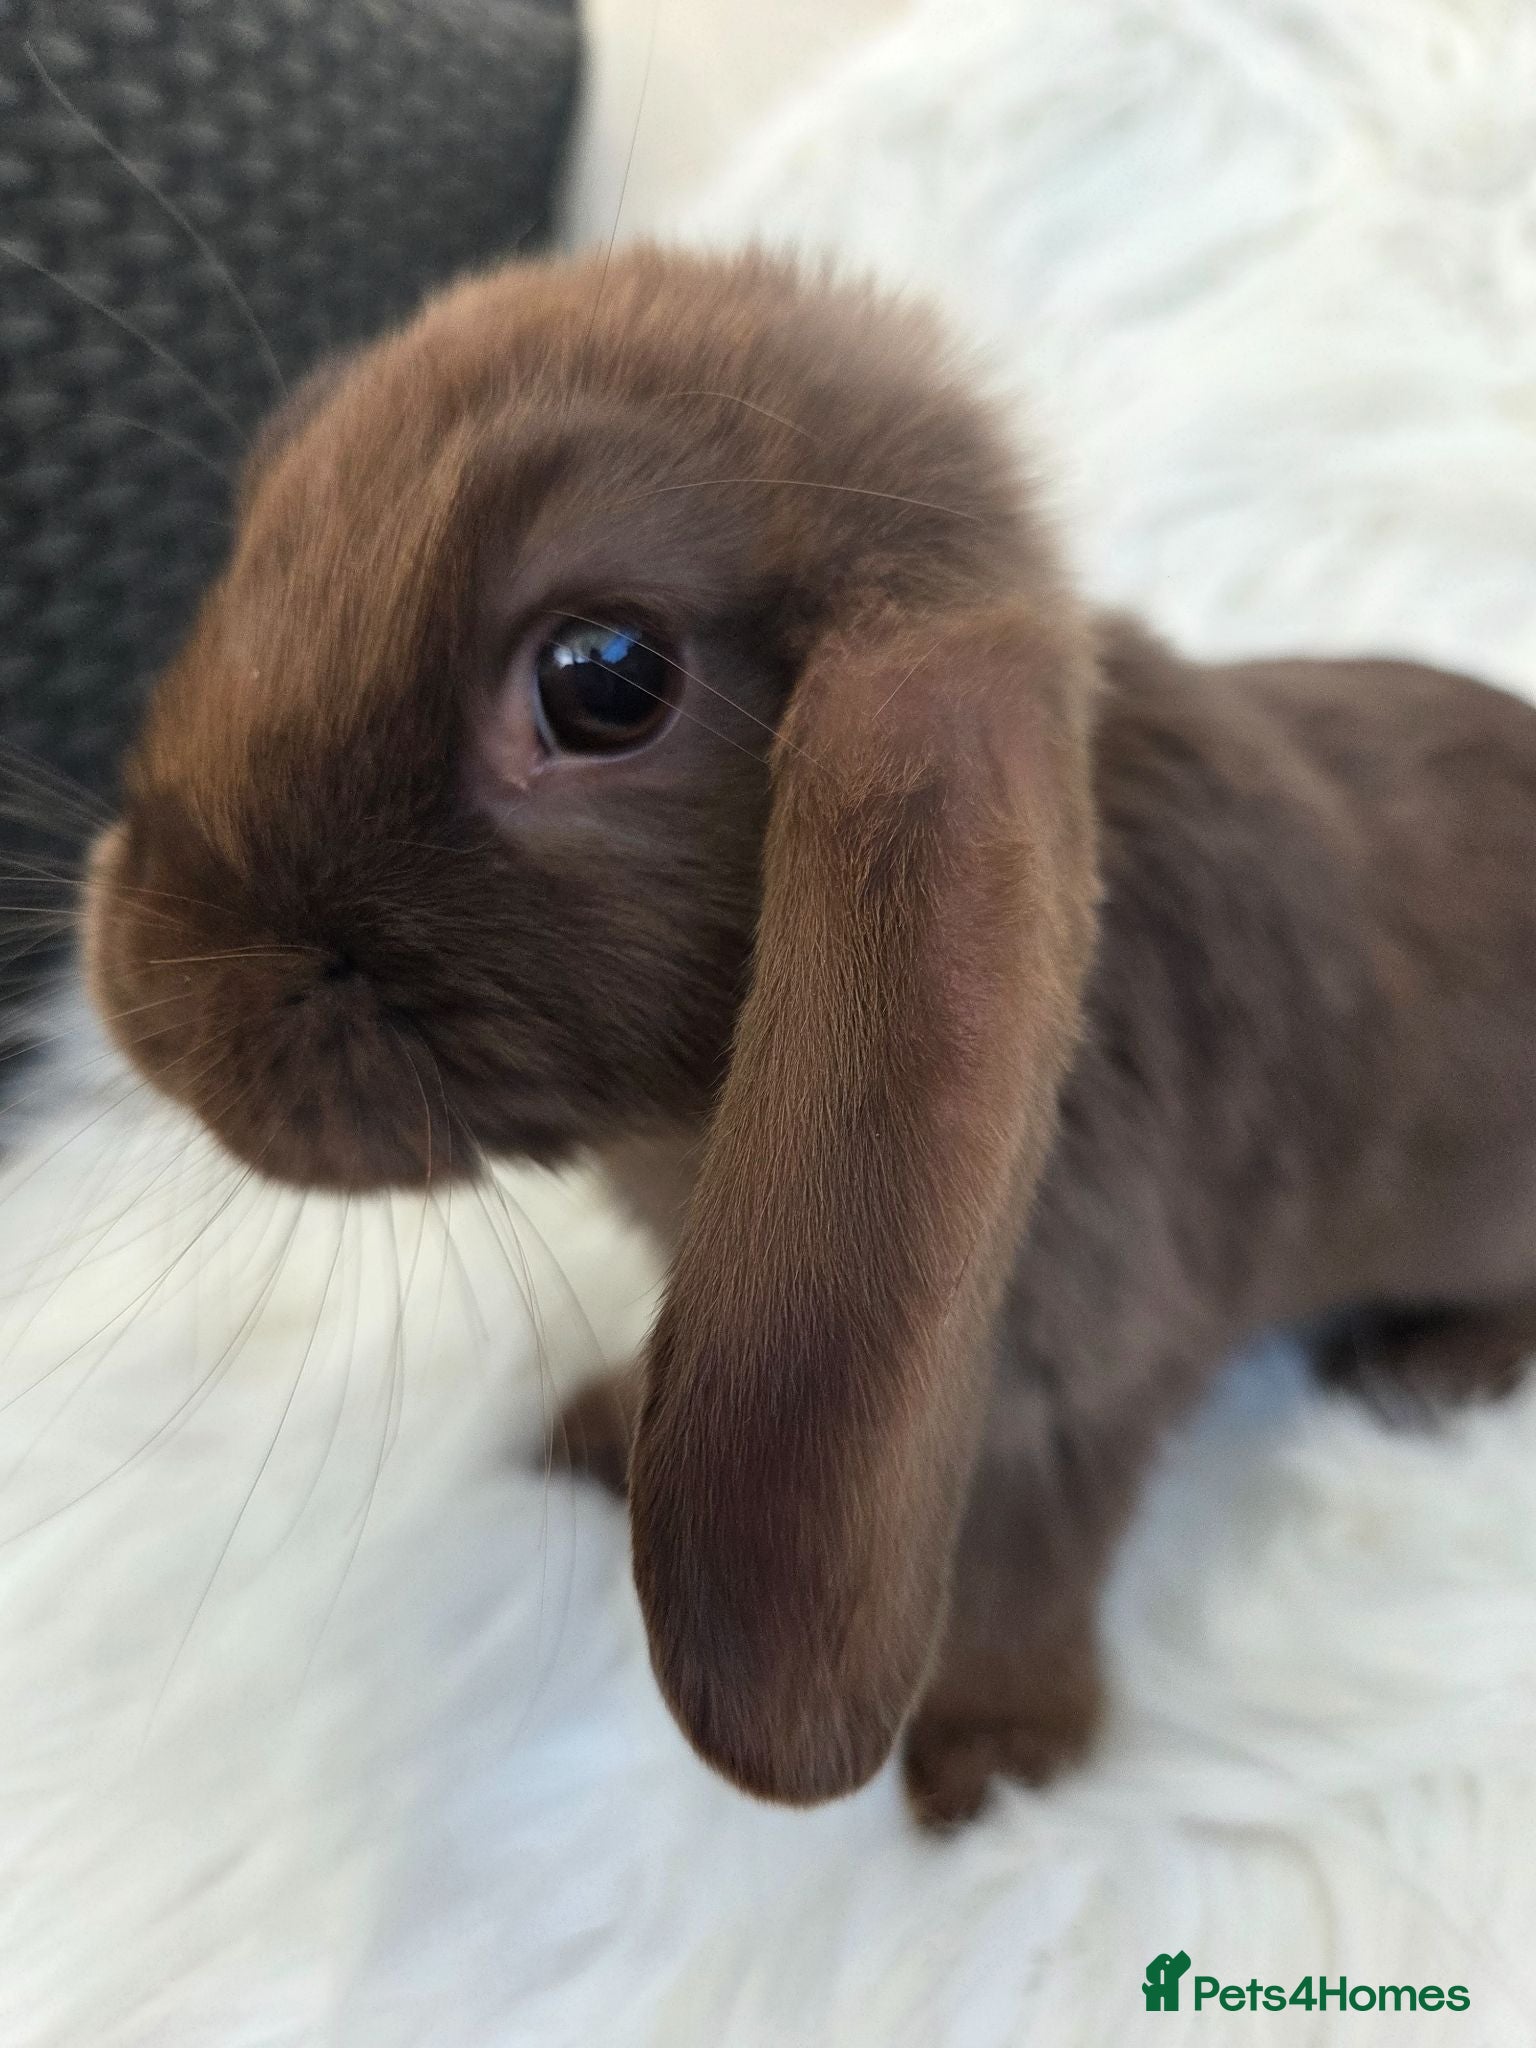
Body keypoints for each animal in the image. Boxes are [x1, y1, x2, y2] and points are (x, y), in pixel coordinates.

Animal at [83, 246, 1536, 1829]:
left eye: (604, 676)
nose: (151, 996)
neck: (693, 1125)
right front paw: (597, 1430)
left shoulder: (1071, 1383)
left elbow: (1029, 1562)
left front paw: (992, 1766)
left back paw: (1425, 1372)